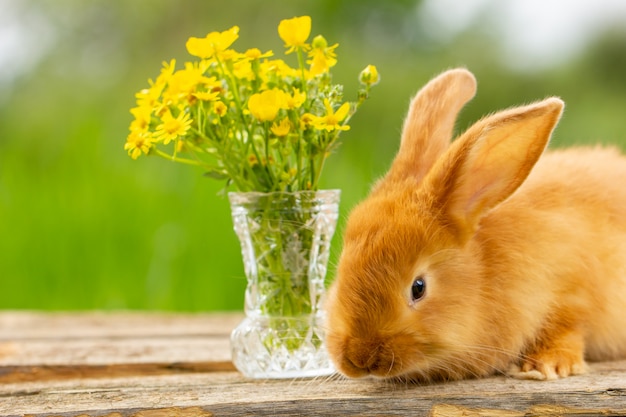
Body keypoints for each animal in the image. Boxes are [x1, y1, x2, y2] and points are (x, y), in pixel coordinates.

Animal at [324, 67, 624, 380]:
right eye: (341, 271)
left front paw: (545, 366)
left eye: (418, 287)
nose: (359, 358)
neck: (486, 270)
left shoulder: (576, 289)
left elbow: (567, 326)